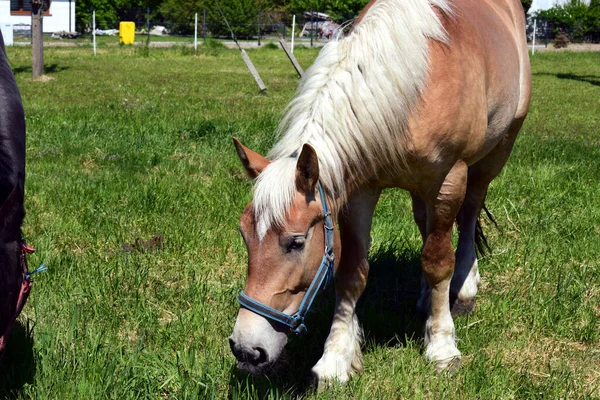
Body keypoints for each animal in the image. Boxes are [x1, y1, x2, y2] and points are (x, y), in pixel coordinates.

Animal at [229, 0, 528, 386]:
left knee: (467, 220)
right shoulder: (359, 192)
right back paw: (426, 301)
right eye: (244, 235)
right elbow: (352, 272)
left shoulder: (449, 179)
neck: (413, 83)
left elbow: (439, 262)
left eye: (296, 242)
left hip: (494, 155)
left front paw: (442, 347)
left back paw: (463, 291)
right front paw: (336, 358)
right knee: (428, 229)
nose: (245, 349)